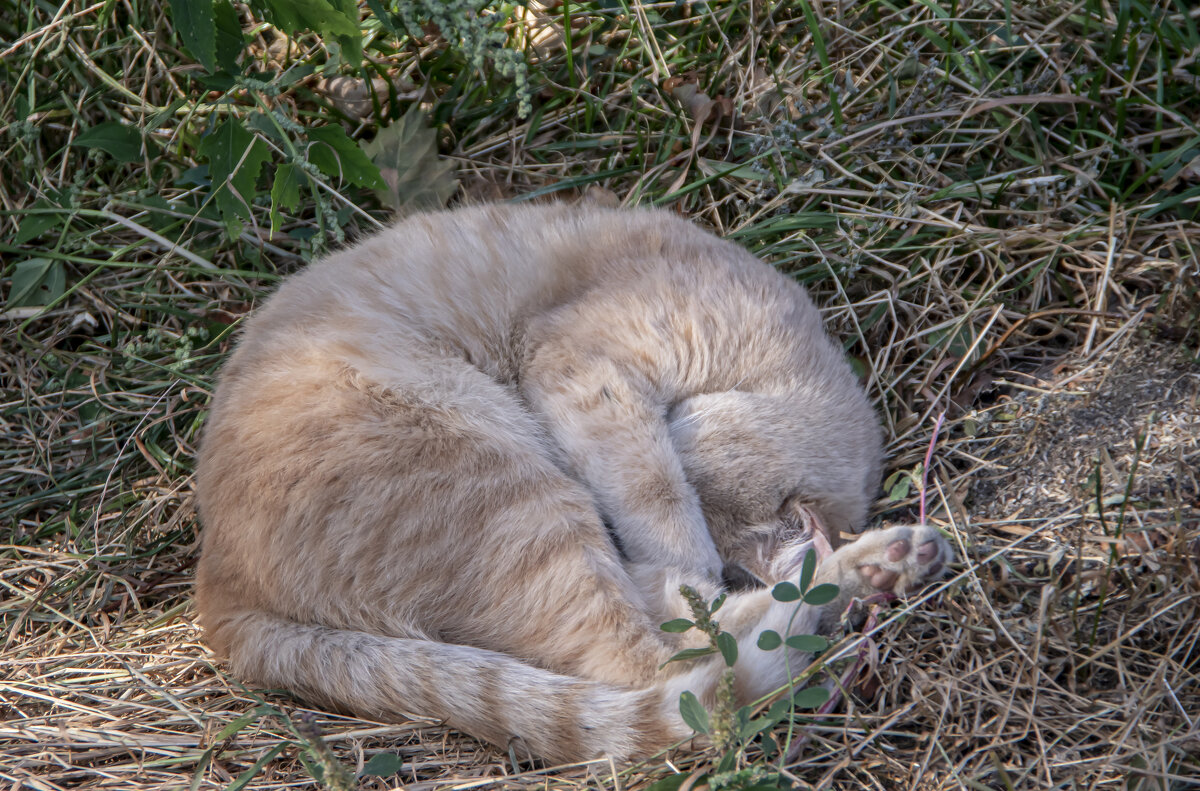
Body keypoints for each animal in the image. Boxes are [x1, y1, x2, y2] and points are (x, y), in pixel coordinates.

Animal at [194, 201, 945, 763]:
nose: (619, 535)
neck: (775, 350)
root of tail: (218, 584)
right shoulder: (591, 377)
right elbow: (660, 500)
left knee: (674, 639)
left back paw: (879, 566)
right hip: (520, 492)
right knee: (664, 661)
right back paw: (863, 570)